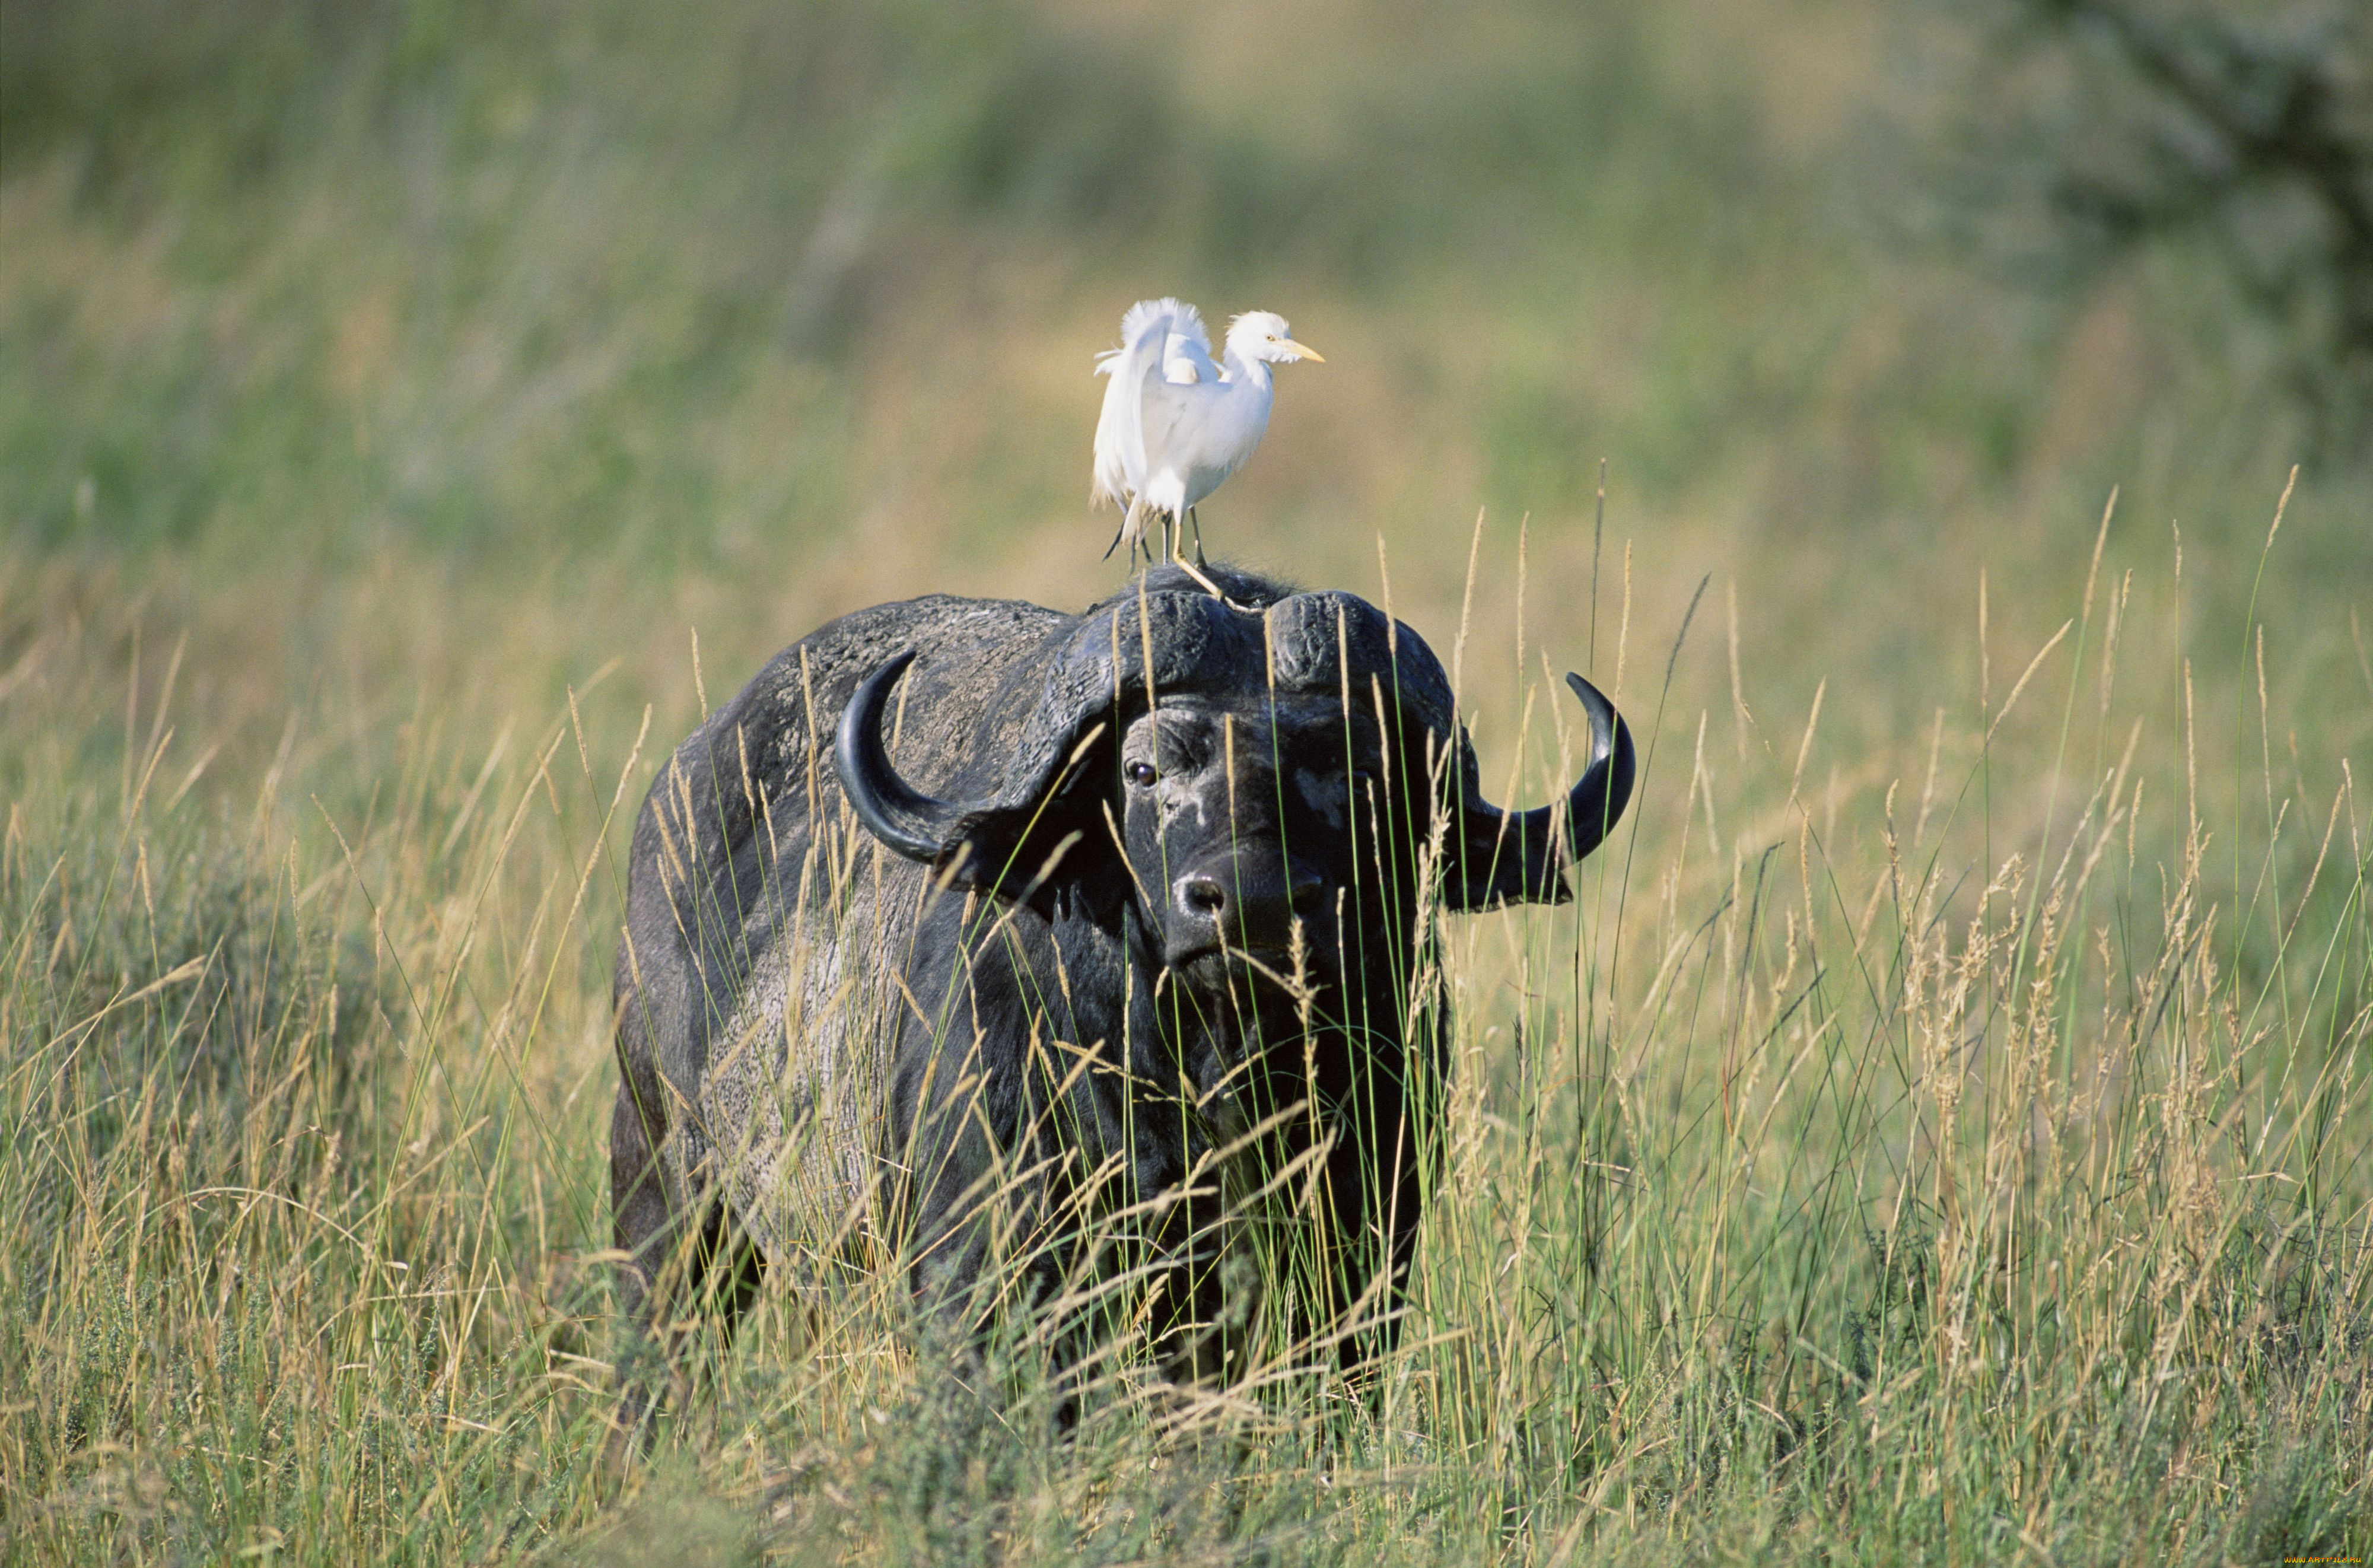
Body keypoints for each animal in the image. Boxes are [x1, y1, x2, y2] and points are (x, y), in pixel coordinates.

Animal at [612, 562, 1633, 1395]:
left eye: (1351, 767)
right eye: (1141, 768)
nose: (1251, 901)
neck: (1199, 1078)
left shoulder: (1359, 1246)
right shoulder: (983, 1265)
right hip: (666, 1193)